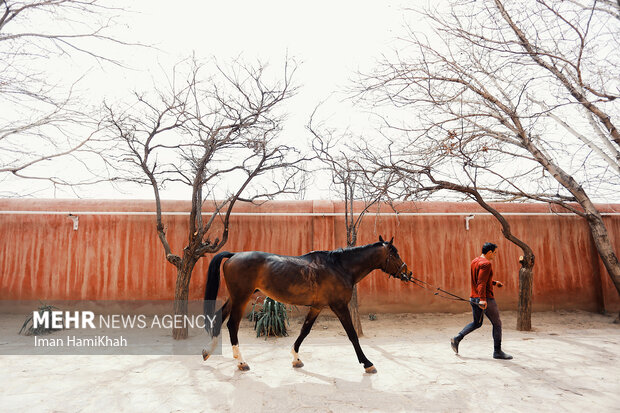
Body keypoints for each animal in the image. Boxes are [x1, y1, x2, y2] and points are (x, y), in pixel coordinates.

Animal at [201, 235, 410, 374]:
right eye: (395, 254)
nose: (407, 273)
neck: (339, 267)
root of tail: (234, 255)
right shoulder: (339, 306)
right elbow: (352, 335)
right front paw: (367, 363)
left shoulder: (317, 306)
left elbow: (305, 330)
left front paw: (296, 359)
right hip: (241, 298)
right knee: (232, 324)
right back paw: (241, 362)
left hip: (236, 297)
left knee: (220, 316)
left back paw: (208, 351)